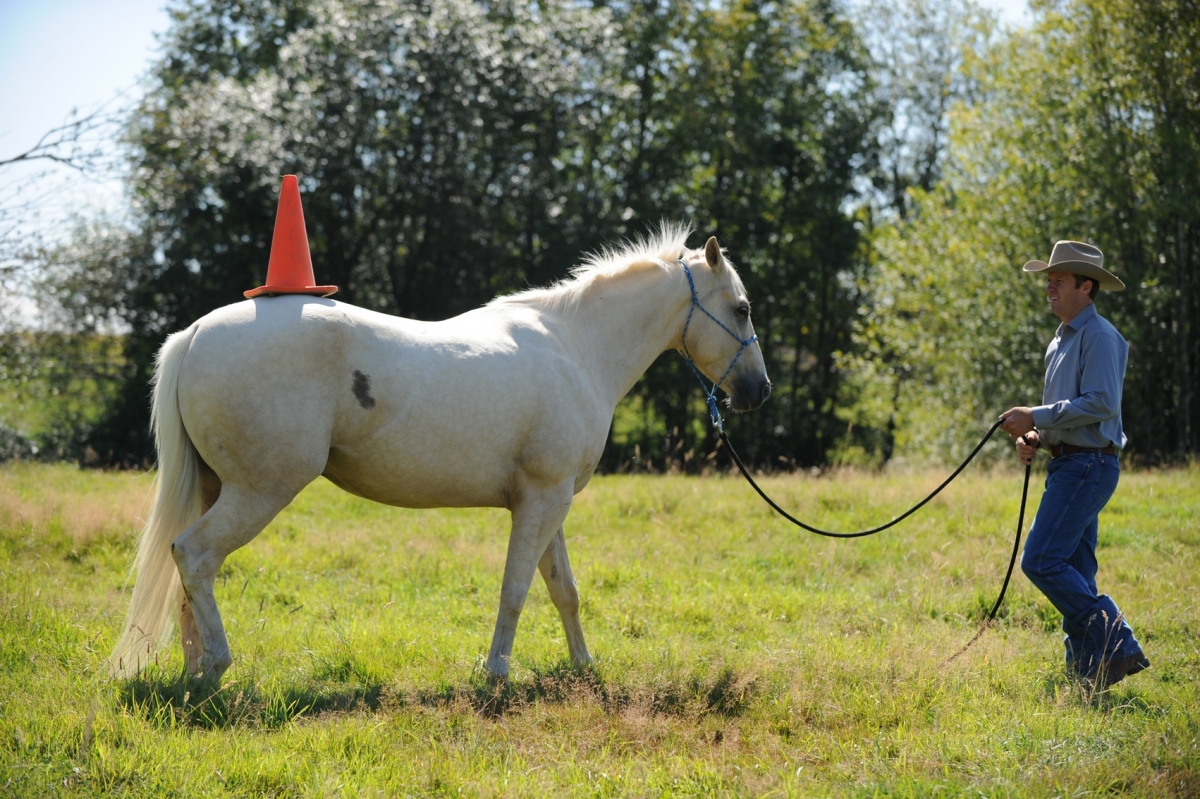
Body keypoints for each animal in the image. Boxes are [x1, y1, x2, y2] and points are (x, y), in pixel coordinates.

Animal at [109, 226, 771, 681]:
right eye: (741, 309)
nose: (758, 392)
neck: (576, 348)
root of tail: (194, 333)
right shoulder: (540, 500)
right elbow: (516, 588)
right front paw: (496, 672)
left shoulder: (548, 501)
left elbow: (563, 590)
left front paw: (583, 666)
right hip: (259, 491)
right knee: (194, 555)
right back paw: (218, 665)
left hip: (216, 488)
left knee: (186, 569)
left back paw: (196, 668)